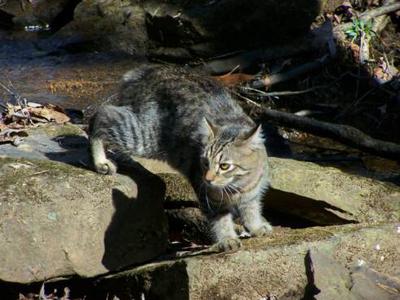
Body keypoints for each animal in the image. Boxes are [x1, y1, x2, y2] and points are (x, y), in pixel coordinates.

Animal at [89, 65, 272, 251]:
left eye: (224, 166)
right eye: (205, 163)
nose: (208, 179)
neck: (238, 185)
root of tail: (147, 70)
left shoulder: (252, 196)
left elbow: (252, 211)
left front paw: (256, 226)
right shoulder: (208, 199)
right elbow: (221, 220)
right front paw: (227, 238)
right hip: (142, 136)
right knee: (102, 115)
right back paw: (100, 161)